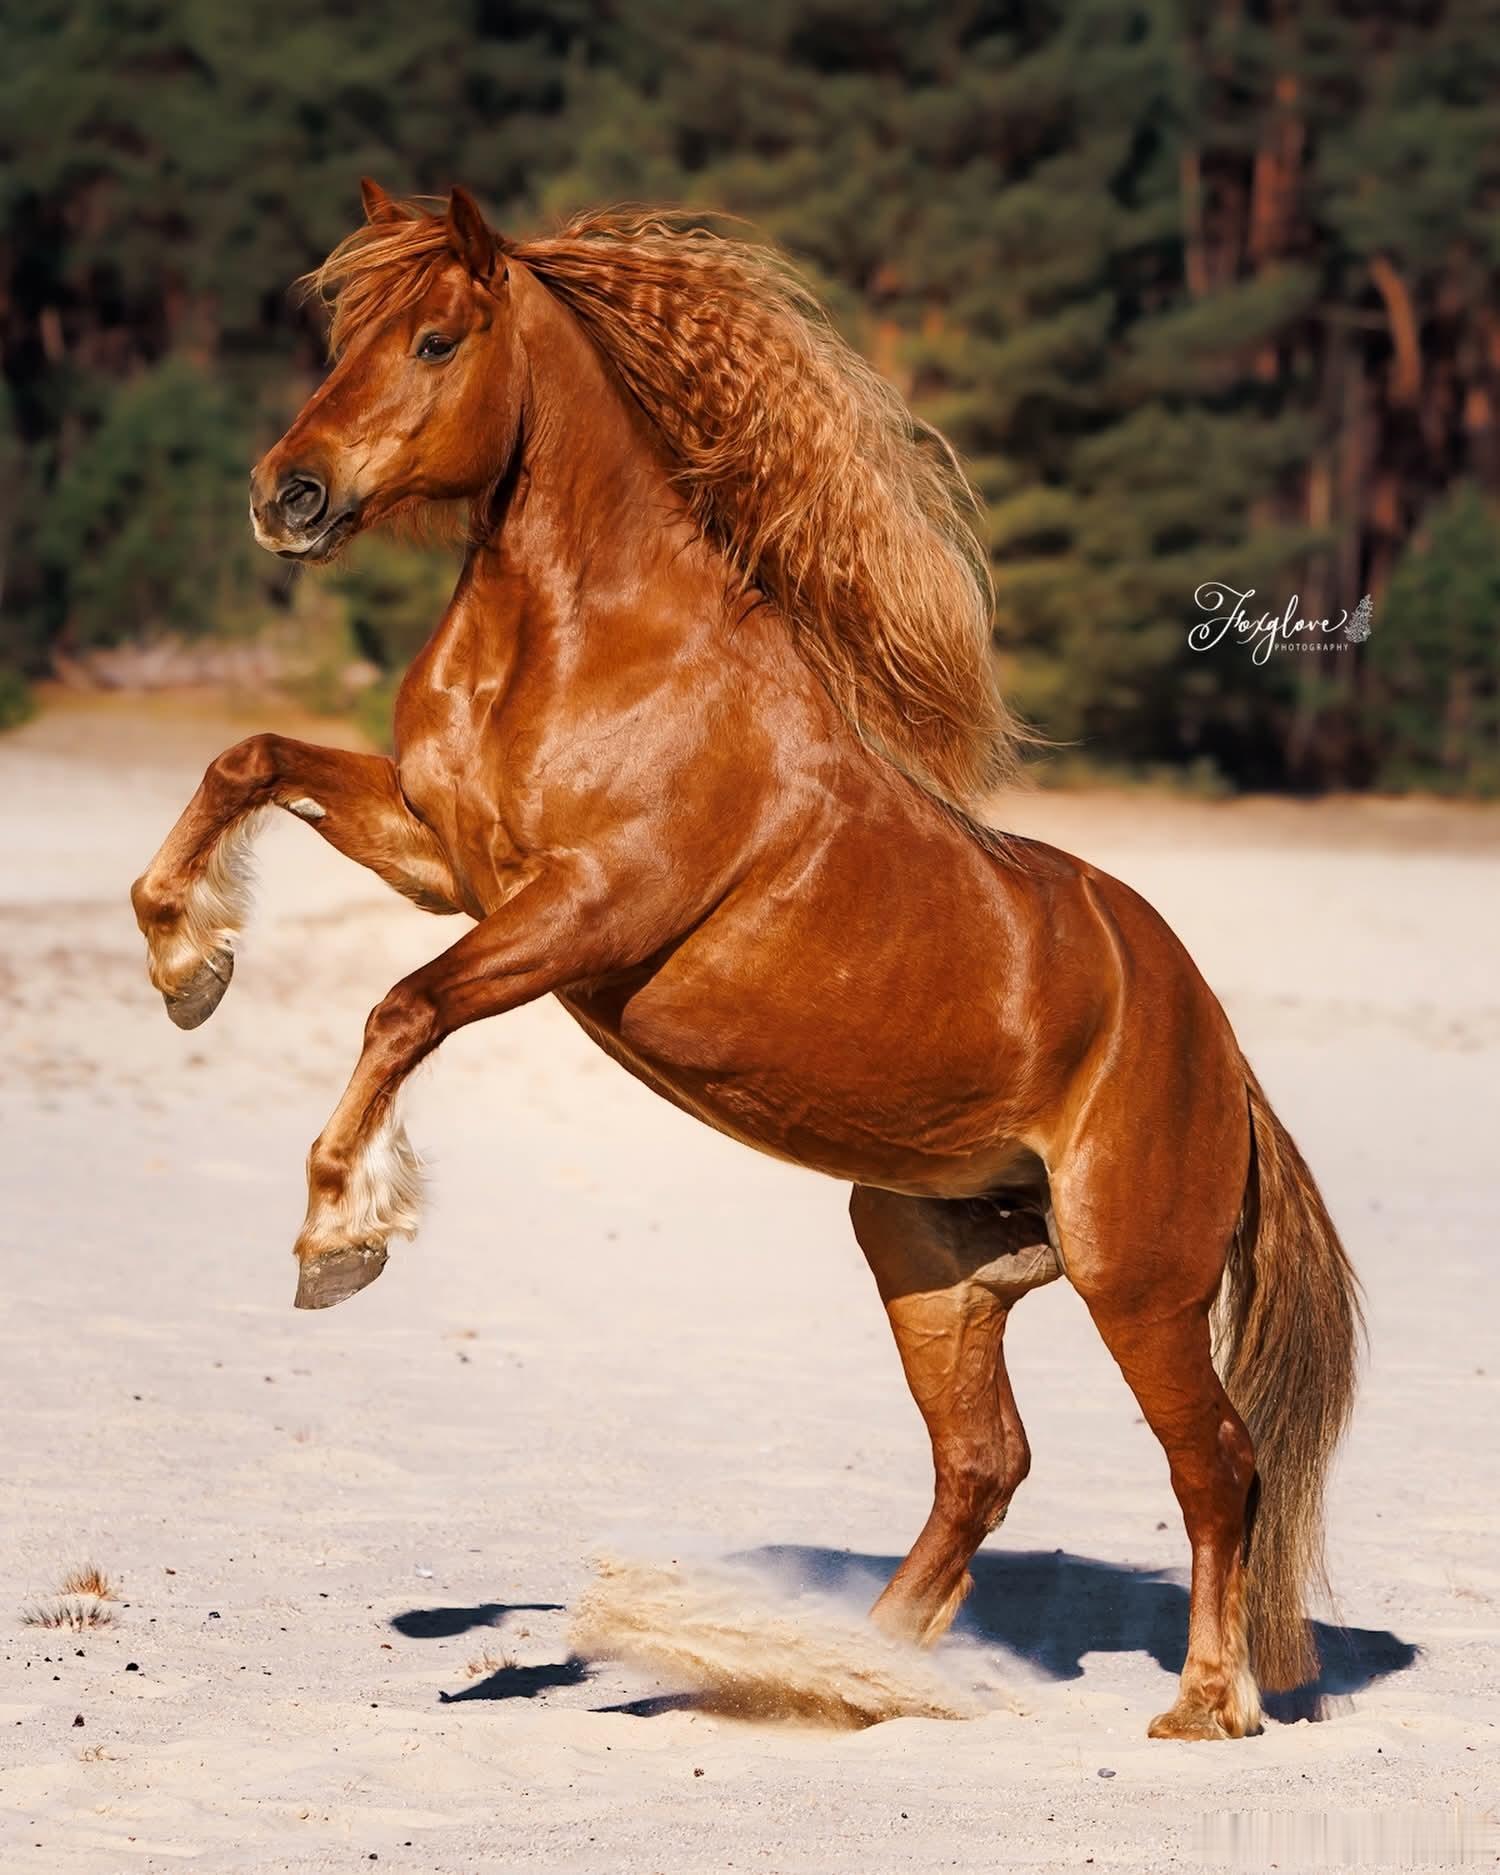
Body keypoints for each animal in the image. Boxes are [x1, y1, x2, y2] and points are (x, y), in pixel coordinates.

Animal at [130, 181, 1361, 1741]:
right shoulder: (442, 855)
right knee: (984, 1467)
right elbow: (251, 759)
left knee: (1216, 1462)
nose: (285, 496)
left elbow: (403, 1007)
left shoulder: (585, 905)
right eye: (340, 332)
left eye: (435, 338)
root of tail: (1219, 1049)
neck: (587, 646)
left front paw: (337, 1232)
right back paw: (844, 1674)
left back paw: (1205, 1702)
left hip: (1135, 1283)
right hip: (927, 1255)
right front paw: (185, 958)